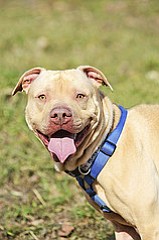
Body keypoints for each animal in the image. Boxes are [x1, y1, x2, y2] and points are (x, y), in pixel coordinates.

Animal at [11, 65, 159, 240]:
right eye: (42, 97)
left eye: (80, 96)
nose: (60, 114)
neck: (103, 146)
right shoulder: (123, 228)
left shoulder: (150, 225)